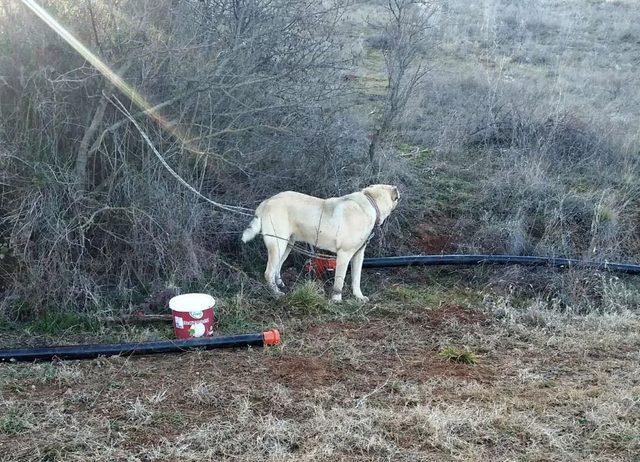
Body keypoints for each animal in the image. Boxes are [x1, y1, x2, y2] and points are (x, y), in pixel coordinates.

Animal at [241, 184, 400, 304]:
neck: (371, 203)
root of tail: (267, 201)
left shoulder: (358, 255)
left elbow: (356, 279)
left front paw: (358, 296)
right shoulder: (344, 254)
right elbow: (340, 280)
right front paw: (336, 299)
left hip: (287, 244)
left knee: (277, 267)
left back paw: (280, 285)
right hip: (278, 244)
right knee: (268, 272)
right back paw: (276, 293)